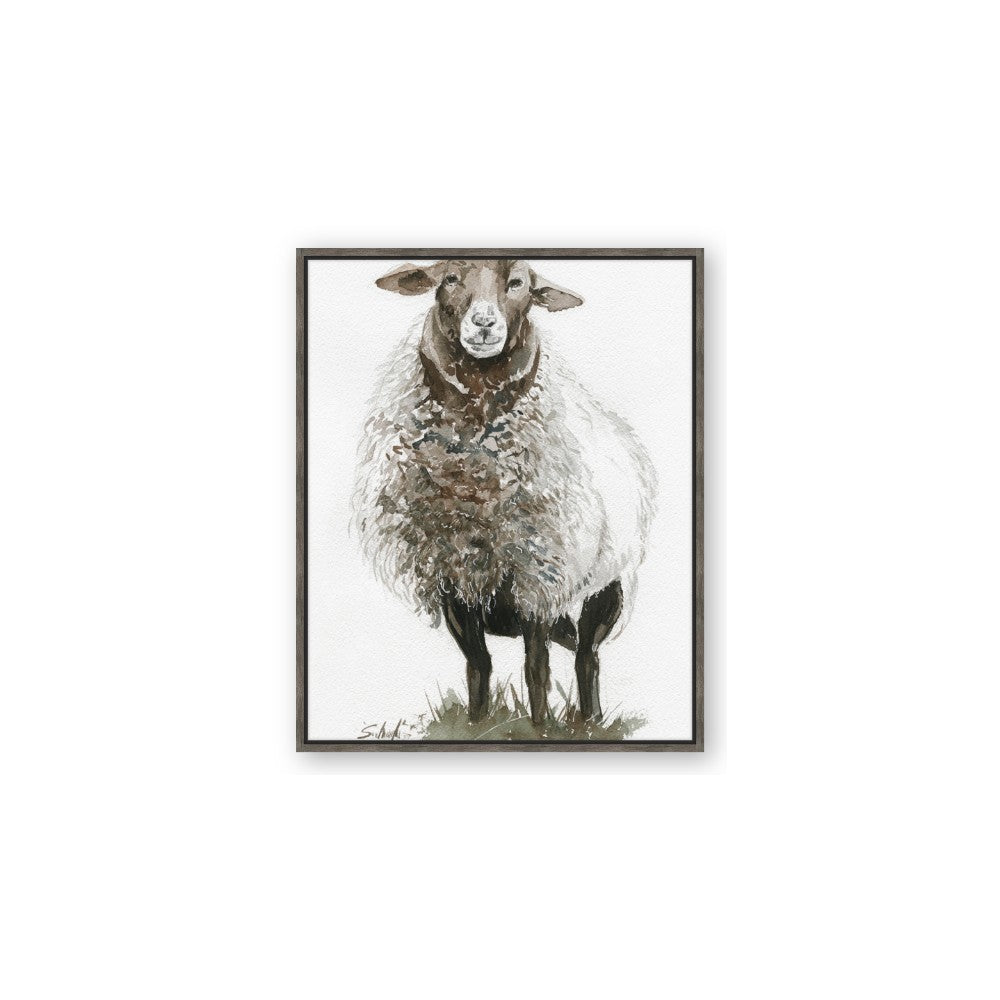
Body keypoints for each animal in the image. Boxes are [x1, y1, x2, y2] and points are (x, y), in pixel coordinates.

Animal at [353, 259, 657, 725]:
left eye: (518, 284)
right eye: (449, 279)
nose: (483, 323)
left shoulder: (539, 576)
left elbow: (537, 668)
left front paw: (541, 728)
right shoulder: (454, 579)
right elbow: (478, 664)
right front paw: (477, 724)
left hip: (606, 585)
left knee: (587, 654)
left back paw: (590, 720)